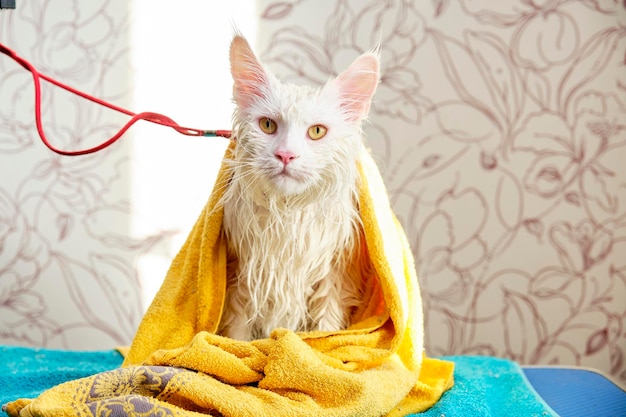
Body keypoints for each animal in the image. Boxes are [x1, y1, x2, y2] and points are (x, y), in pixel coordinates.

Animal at [217, 35, 378, 342]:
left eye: (316, 131)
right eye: (268, 125)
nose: (286, 155)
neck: (288, 214)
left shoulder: (334, 278)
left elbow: (325, 335)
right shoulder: (240, 279)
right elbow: (234, 338)